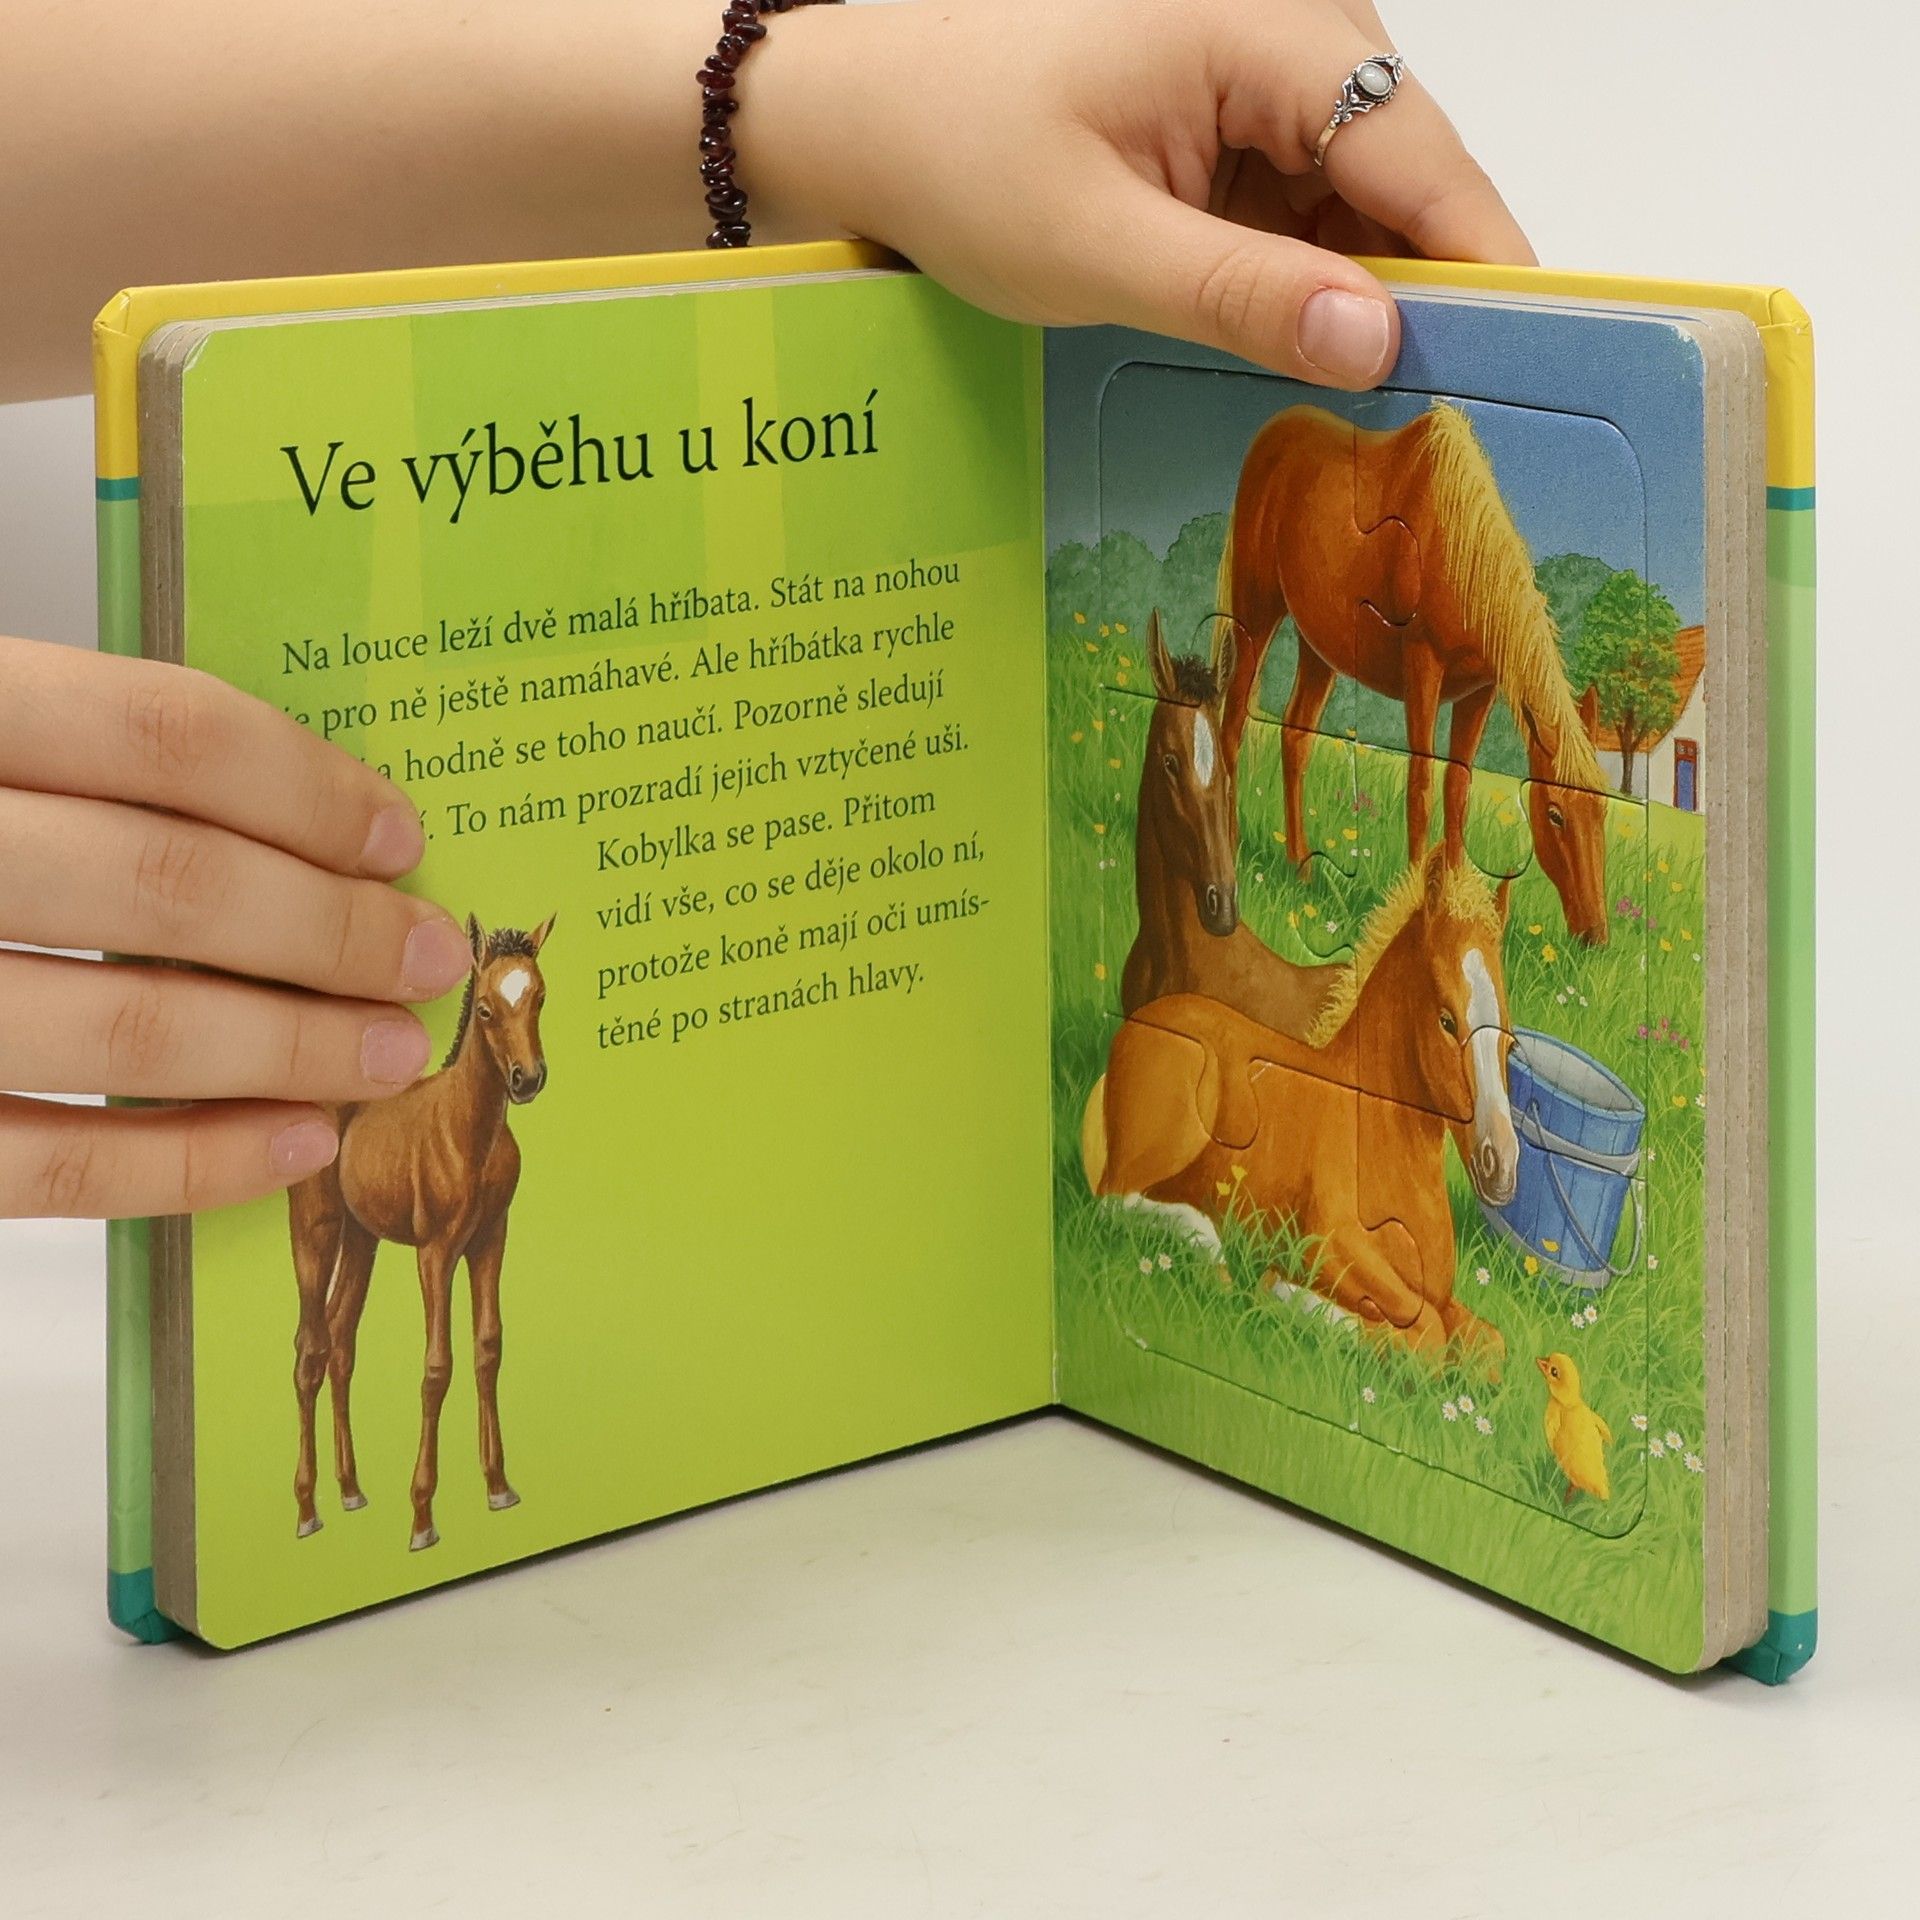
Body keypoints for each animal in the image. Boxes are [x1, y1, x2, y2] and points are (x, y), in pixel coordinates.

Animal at [288, 913, 555, 1550]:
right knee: (310, 1347)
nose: (527, 1079)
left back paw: (351, 1489)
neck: (469, 1131)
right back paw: (308, 1508)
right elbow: (437, 1368)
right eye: (485, 1008)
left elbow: (488, 1348)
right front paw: (422, 1516)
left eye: (538, 996)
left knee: (340, 1342)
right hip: (317, 1230)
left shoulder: (490, 1241)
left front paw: (498, 1486)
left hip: (362, 1240)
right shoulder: (435, 1253)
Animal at [1085, 845, 1516, 1365]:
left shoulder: (1437, 1293)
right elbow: (1429, 1336)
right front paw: (1285, 1293)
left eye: (1510, 1039)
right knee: (1113, 1200)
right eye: (1448, 1020)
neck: (1377, 1130)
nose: (1501, 1166)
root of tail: (1142, 1020)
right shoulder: (1330, 1245)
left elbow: (1488, 1346)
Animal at [1216, 400, 1611, 946]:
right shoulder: (1423, 668)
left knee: (1295, 738)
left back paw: (1302, 865)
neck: (1459, 545)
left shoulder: (1479, 692)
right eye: (1555, 814)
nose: (1595, 934)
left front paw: (1459, 901)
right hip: (1255, 613)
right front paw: (1415, 899)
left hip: (1319, 647)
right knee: (1232, 724)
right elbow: (1421, 785)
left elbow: (1457, 790)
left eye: (1602, 810)